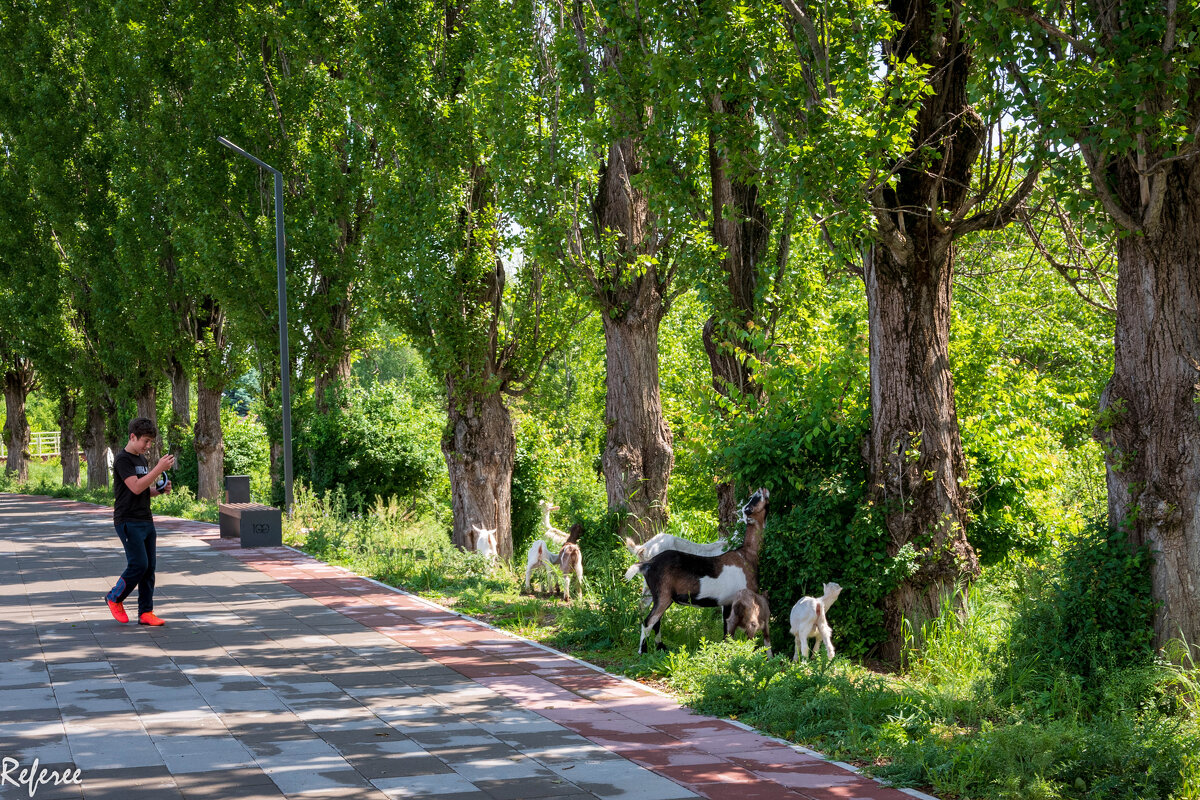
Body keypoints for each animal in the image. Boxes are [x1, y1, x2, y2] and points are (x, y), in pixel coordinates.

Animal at [624, 491, 772, 652]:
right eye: (752, 502)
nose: (762, 491)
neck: (745, 554)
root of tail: (646, 558)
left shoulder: (727, 601)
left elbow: (727, 630)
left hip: (653, 593)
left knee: (650, 614)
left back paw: (660, 646)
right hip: (663, 595)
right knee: (649, 621)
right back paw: (644, 651)